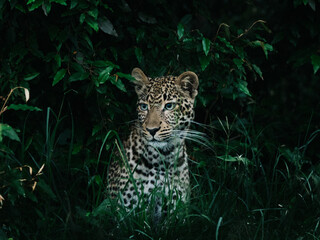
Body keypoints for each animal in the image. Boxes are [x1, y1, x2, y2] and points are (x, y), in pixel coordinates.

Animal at [106, 67, 199, 216]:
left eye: (169, 106)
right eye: (144, 107)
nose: (152, 130)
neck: (162, 159)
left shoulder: (176, 209)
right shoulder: (126, 209)